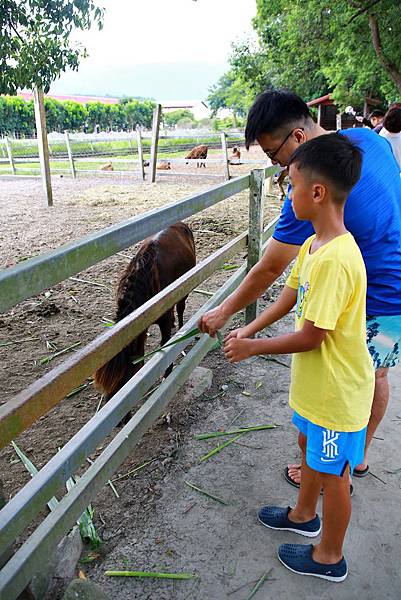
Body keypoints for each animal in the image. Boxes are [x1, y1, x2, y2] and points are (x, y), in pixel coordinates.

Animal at [94, 223, 194, 410]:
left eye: (123, 380)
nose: (121, 417)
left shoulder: (163, 320)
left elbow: (165, 344)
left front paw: (167, 373)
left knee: (180, 308)